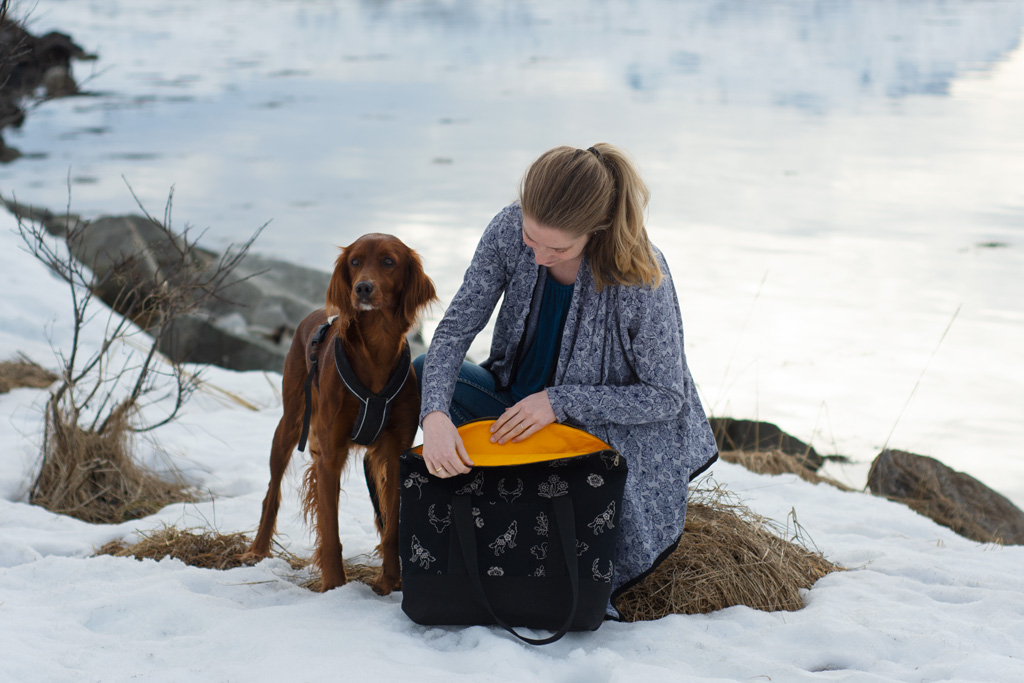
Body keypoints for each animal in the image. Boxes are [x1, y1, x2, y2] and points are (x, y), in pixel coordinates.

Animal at [249, 235, 438, 593]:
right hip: (290, 423)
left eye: (389, 262)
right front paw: (336, 587)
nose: (362, 288)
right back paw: (256, 550)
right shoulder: (330, 453)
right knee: (271, 493)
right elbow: (330, 529)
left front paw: (390, 581)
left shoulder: (395, 452)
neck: (375, 351)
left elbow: (393, 527)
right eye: (355, 261)